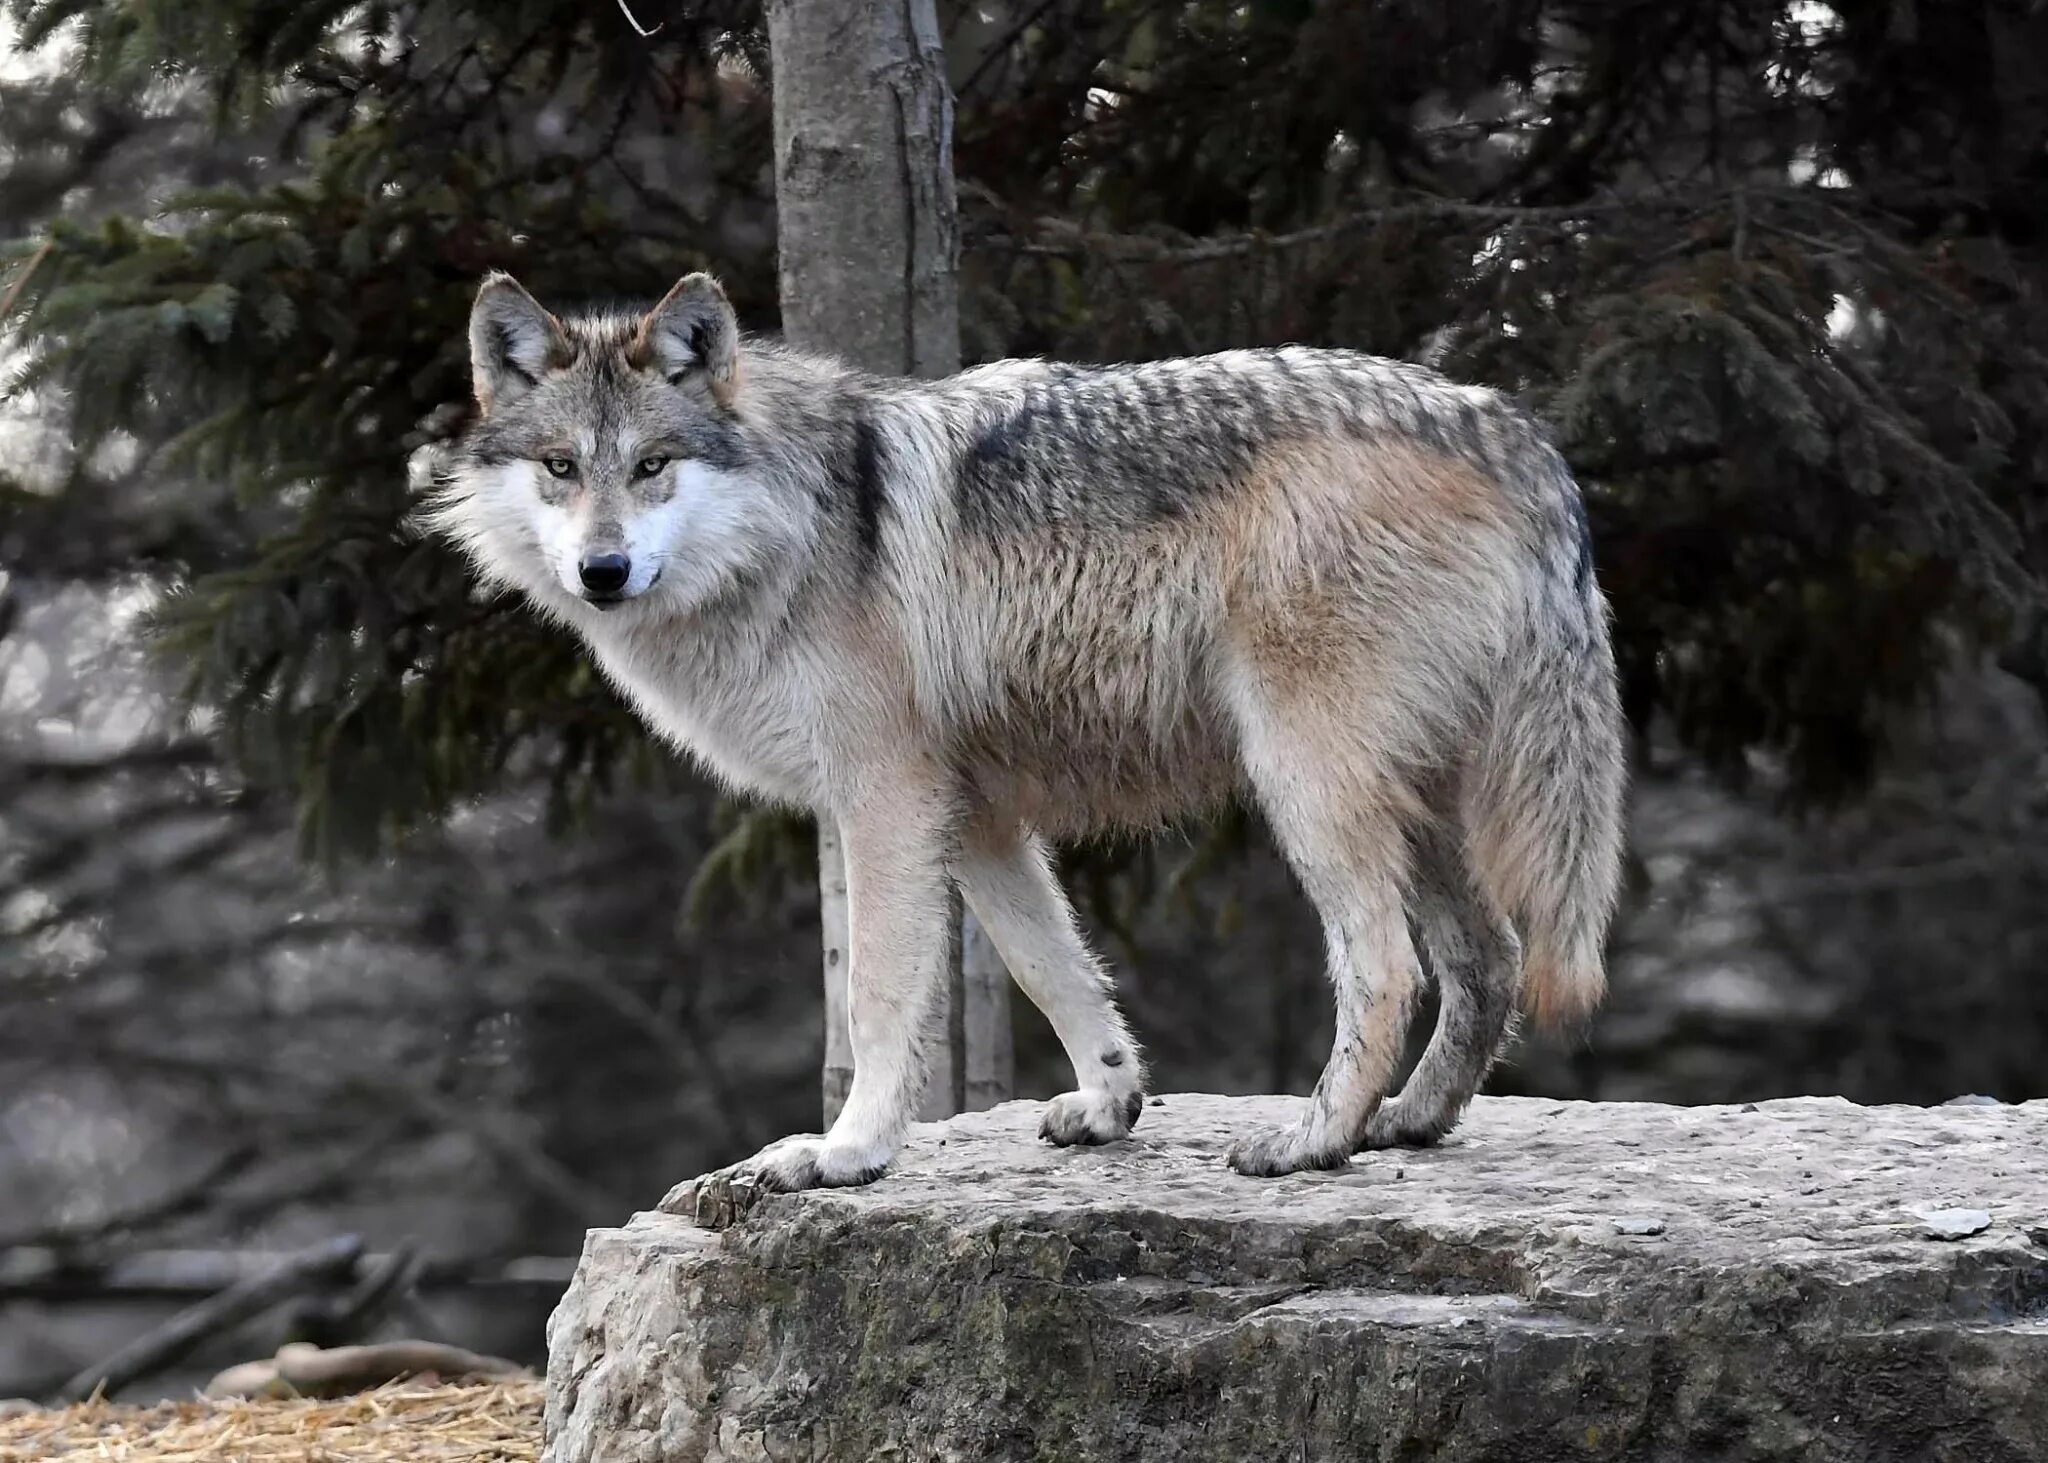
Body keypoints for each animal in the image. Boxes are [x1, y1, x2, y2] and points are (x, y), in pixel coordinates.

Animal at [423, 270, 1622, 1188]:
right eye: (561, 467)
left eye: (651, 464)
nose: (603, 569)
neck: (796, 527)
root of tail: (1506, 425)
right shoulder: (981, 819)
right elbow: (1057, 973)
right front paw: (1108, 1104)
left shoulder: (886, 803)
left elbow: (876, 996)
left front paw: (847, 1150)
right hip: (1414, 801)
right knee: (1488, 957)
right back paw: (1407, 1123)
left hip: (1307, 786)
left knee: (1387, 967)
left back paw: (1312, 1138)